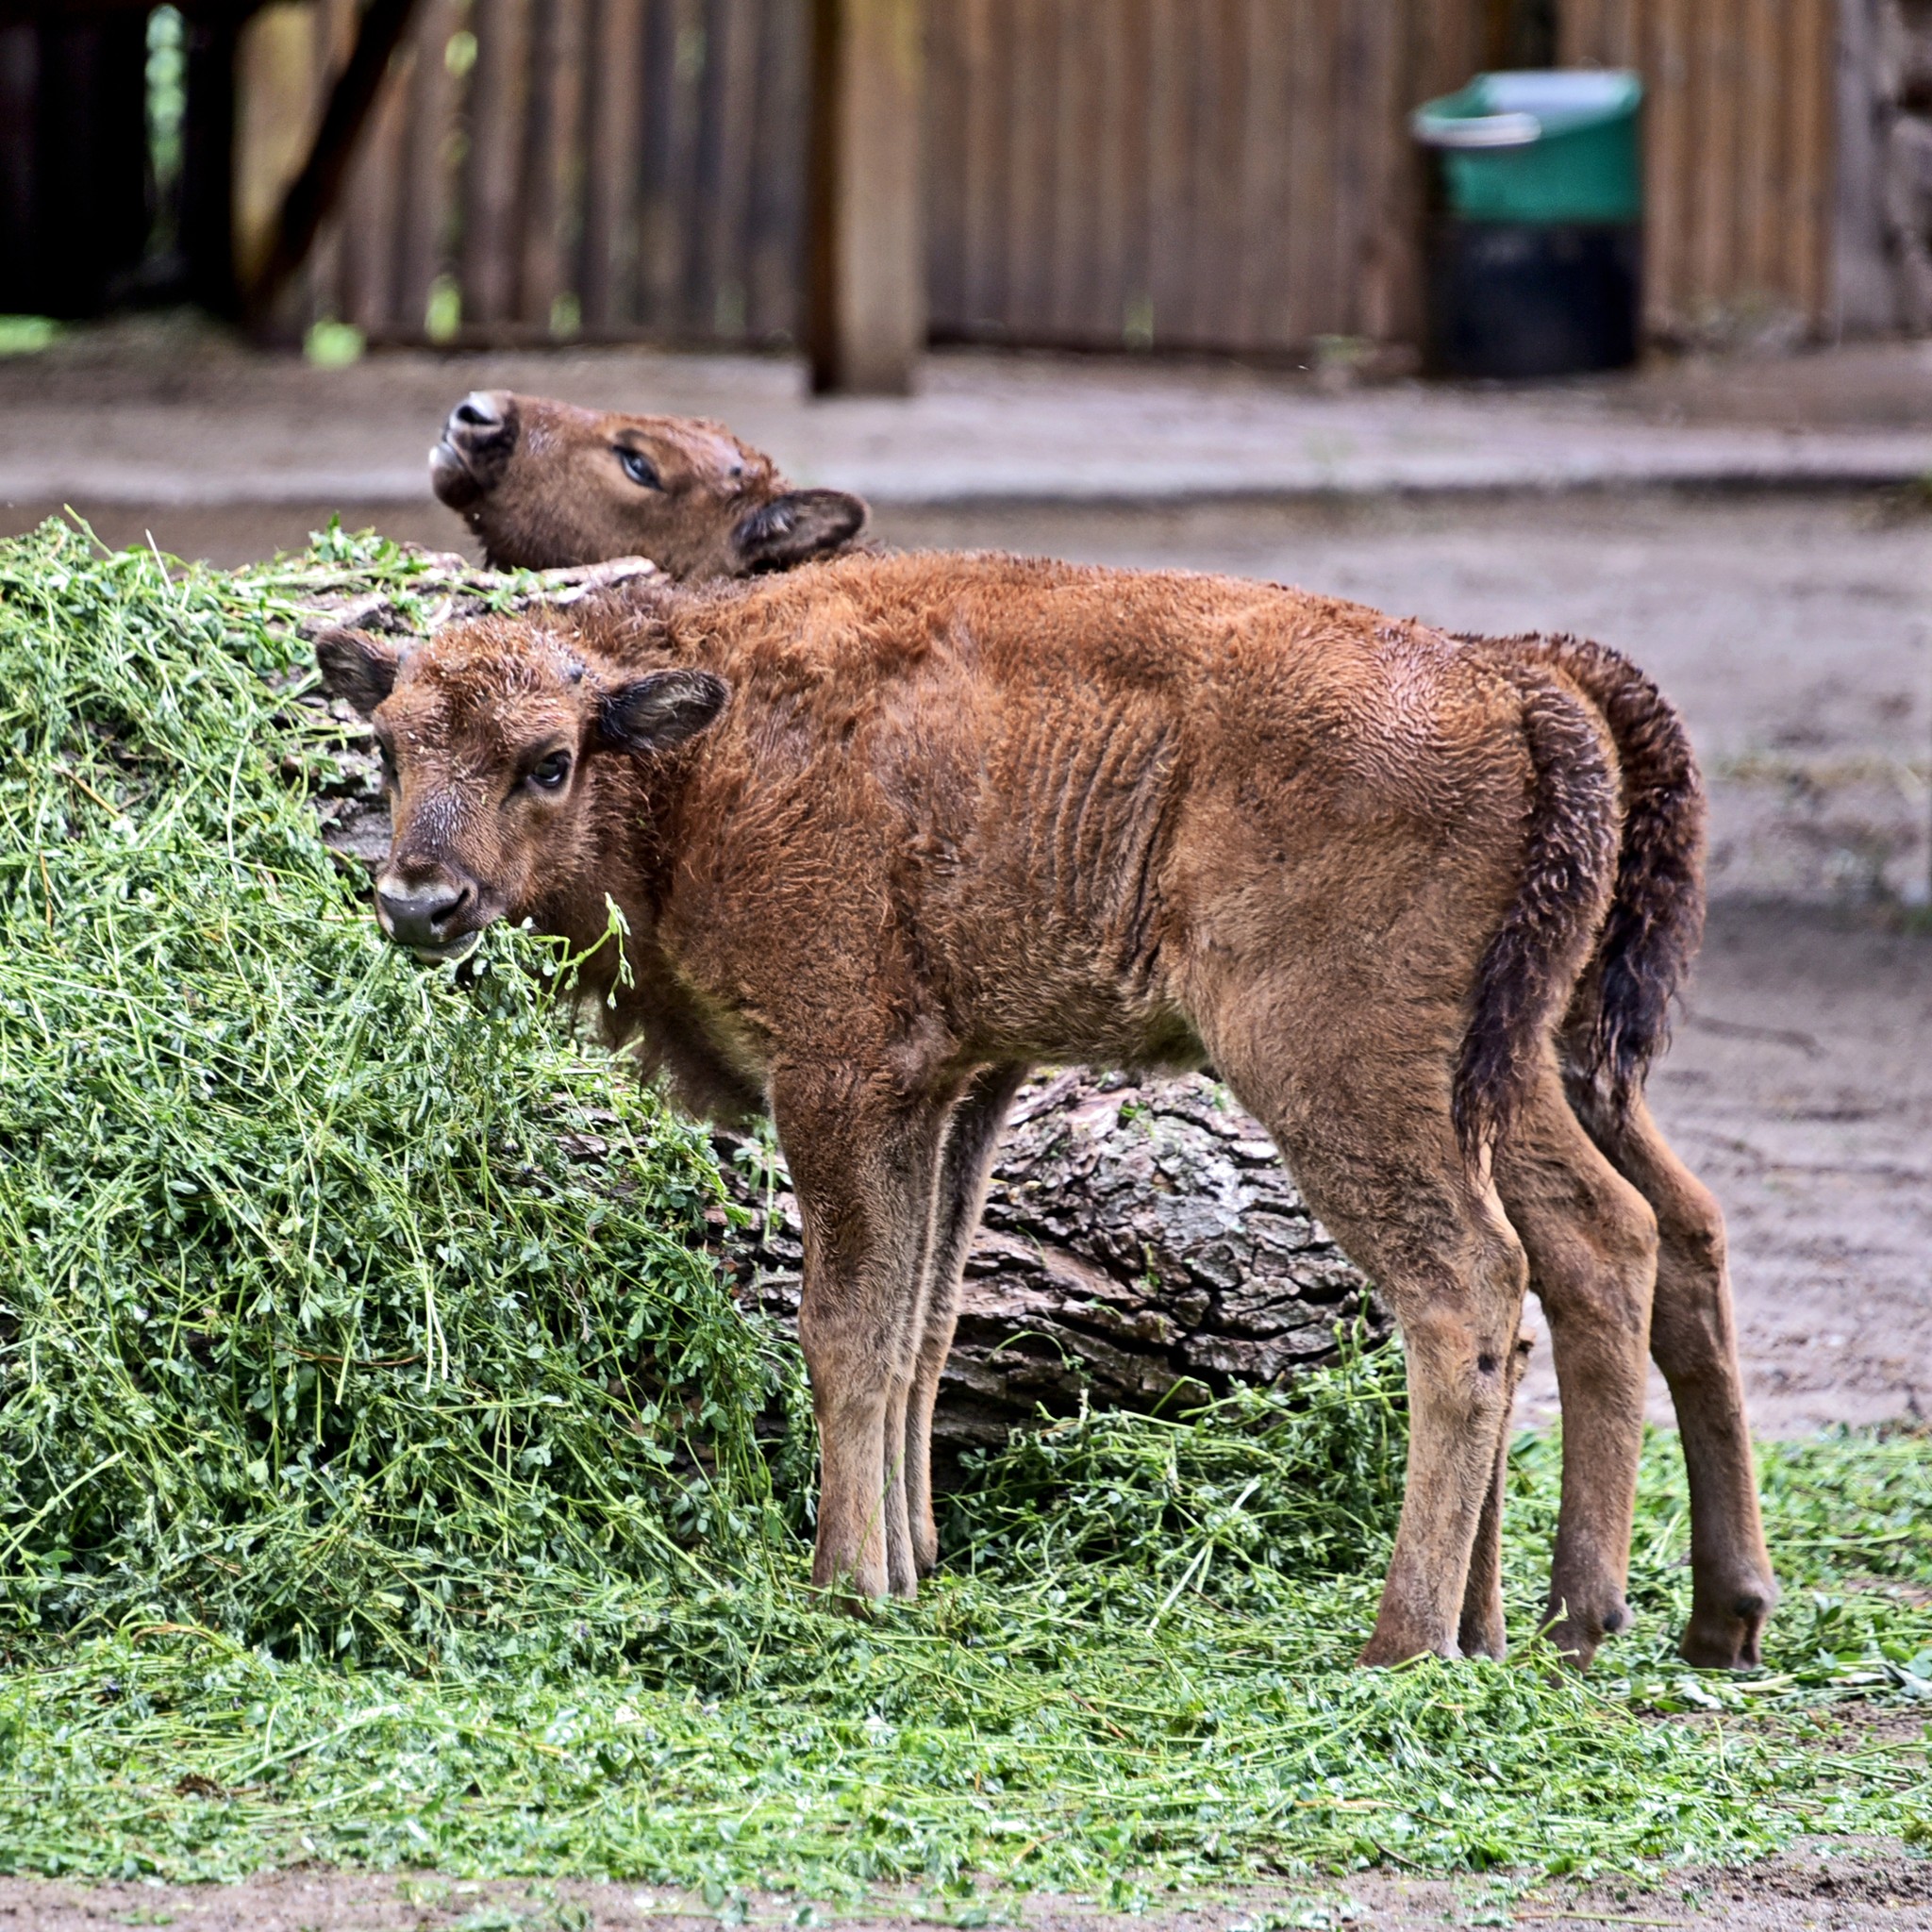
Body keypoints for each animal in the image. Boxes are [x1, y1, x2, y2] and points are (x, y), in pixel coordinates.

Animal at [312, 552, 1739, 1669]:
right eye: (388, 748)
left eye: (548, 761)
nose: (419, 901)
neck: (699, 753)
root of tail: (1505, 683)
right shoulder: (957, 1086)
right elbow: (923, 1327)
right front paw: (911, 1563)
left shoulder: (839, 1078)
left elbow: (846, 1330)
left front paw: (845, 1583)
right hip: (1516, 1066)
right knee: (1630, 1236)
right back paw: (1609, 1620)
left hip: (1339, 1070)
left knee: (1472, 1287)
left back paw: (1414, 1638)